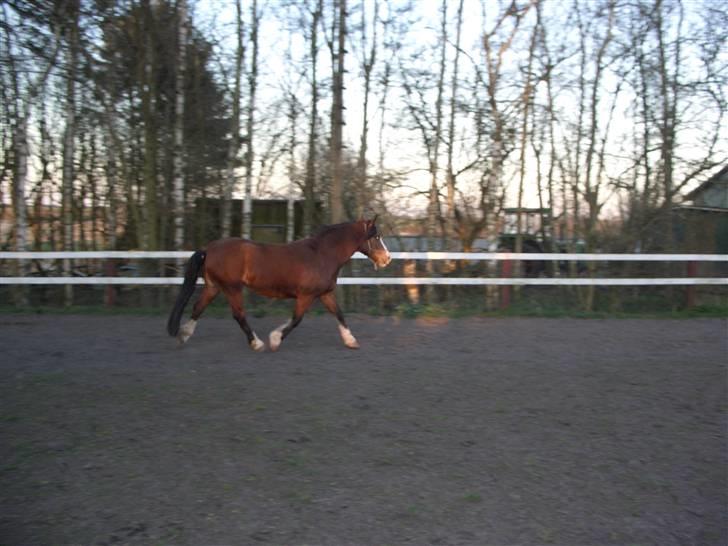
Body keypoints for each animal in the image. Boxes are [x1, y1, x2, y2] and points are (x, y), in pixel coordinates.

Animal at [166, 215, 392, 350]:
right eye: (377, 236)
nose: (387, 259)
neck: (322, 254)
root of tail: (209, 248)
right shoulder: (306, 295)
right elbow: (296, 319)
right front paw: (275, 339)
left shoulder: (325, 294)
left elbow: (339, 314)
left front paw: (351, 341)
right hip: (232, 288)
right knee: (238, 315)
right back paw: (257, 343)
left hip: (214, 287)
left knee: (198, 307)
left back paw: (183, 335)